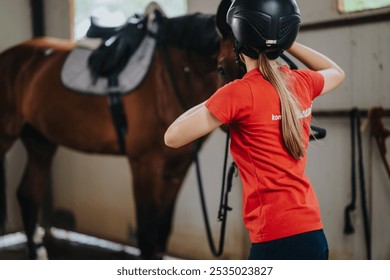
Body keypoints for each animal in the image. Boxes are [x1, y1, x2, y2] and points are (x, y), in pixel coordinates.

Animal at [0, 0, 236, 260]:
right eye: (222, 68)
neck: (168, 79)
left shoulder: (178, 167)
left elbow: (162, 231)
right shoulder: (144, 165)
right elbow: (146, 233)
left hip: (41, 142)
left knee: (28, 195)